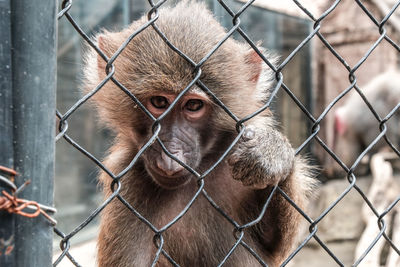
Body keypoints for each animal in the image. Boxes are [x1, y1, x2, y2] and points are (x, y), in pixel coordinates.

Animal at [84, 2, 316, 267]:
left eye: (193, 105)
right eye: (159, 102)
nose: (170, 157)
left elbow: (274, 243)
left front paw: (272, 152)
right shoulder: (127, 182)